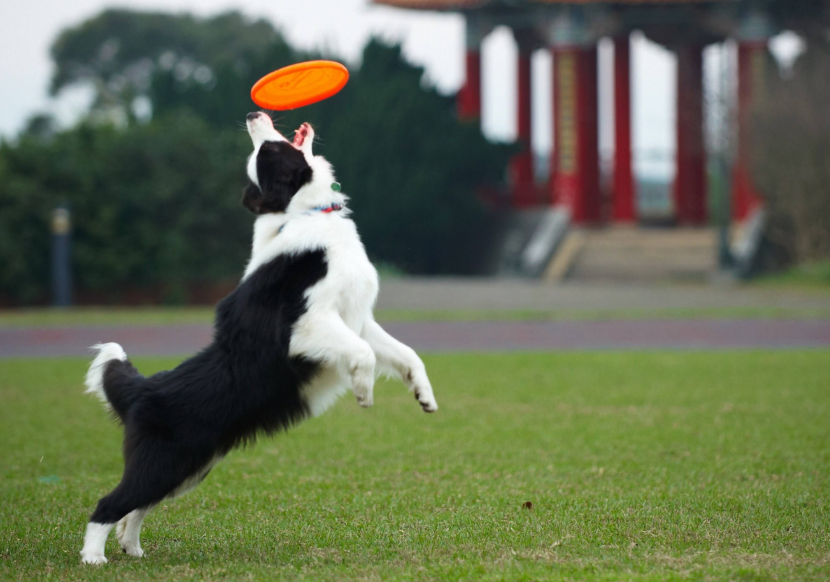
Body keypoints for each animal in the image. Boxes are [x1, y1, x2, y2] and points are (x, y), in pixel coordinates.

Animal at [79, 113, 438, 564]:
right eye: (267, 152)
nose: (253, 115)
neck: (306, 211)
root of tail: (143, 389)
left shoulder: (358, 319)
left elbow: (406, 354)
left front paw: (424, 395)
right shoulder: (307, 324)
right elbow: (363, 355)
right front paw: (364, 391)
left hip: (188, 467)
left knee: (135, 507)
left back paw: (132, 547)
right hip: (165, 463)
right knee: (109, 503)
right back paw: (94, 558)